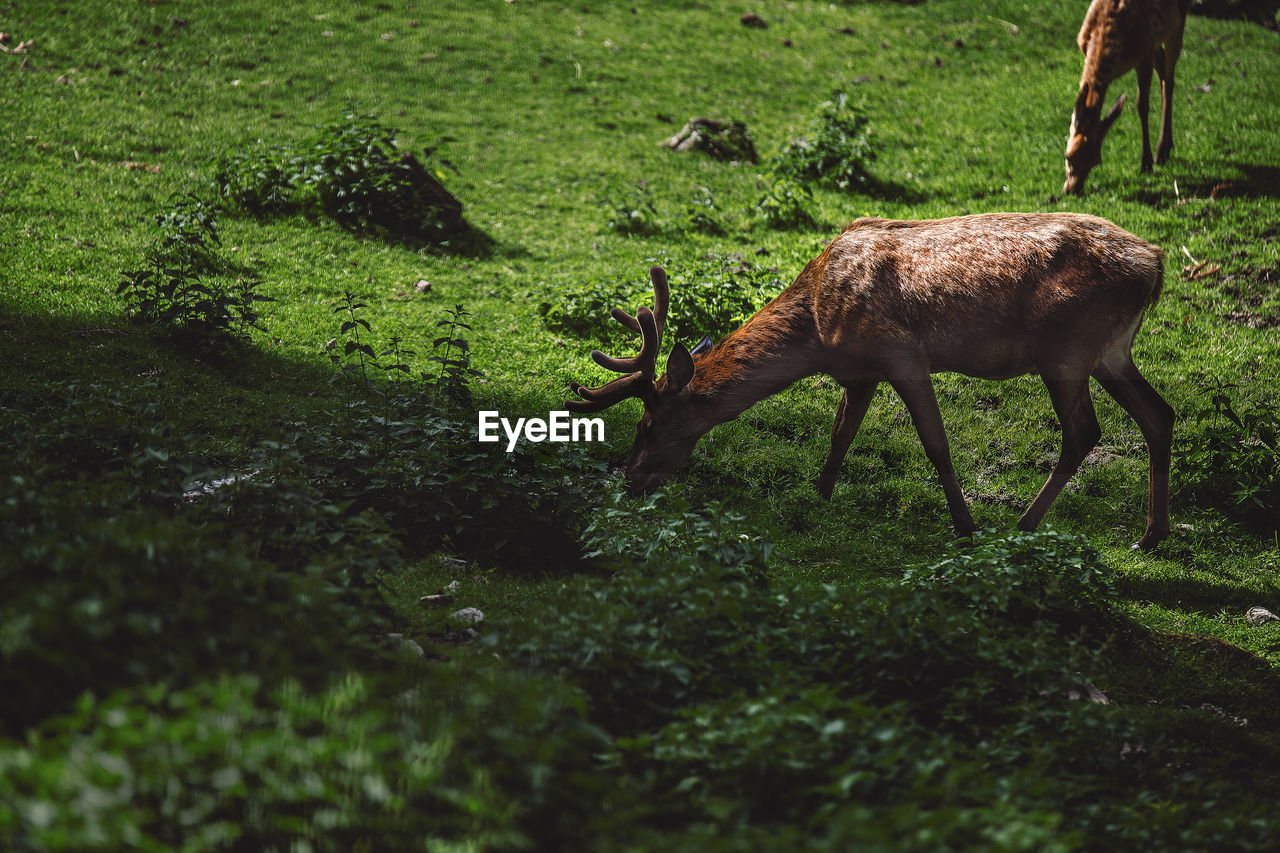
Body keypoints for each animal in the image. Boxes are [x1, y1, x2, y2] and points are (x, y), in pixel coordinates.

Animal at [565, 210, 1172, 548]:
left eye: (647, 425)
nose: (630, 480)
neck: (817, 324)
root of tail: (1158, 261)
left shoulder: (899, 352)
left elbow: (936, 444)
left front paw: (965, 527)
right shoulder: (859, 374)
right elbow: (840, 436)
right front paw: (818, 497)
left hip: (1065, 349)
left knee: (1083, 432)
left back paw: (1023, 525)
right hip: (1112, 351)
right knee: (1159, 414)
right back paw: (1149, 536)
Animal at [1059, 0, 1187, 195]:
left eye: (1096, 161)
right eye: (1068, 156)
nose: (1073, 190)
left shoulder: (1144, 54)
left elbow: (1142, 105)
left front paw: (1146, 163)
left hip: (1178, 20)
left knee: (1169, 73)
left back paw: (1163, 150)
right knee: (1164, 68)